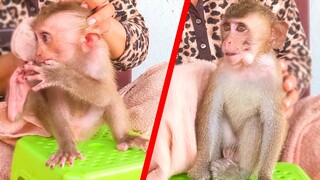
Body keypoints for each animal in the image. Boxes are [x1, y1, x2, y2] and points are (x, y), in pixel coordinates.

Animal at [9, 2, 148, 169]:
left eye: (45, 38)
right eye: (36, 38)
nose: (38, 53)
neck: (74, 58)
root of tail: (79, 134)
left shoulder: (98, 57)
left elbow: (104, 93)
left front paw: (58, 74)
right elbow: (56, 104)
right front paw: (67, 148)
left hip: (91, 125)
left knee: (111, 97)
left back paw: (124, 138)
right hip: (49, 124)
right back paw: (16, 100)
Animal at [189, 0, 288, 179]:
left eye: (241, 28)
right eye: (227, 27)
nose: (226, 41)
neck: (247, 66)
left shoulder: (274, 80)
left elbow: (274, 122)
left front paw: (264, 175)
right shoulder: (220, 72)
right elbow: (212, 113)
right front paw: (200, 168)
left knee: (255, 121)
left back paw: (237, 172)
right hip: (228, 143)